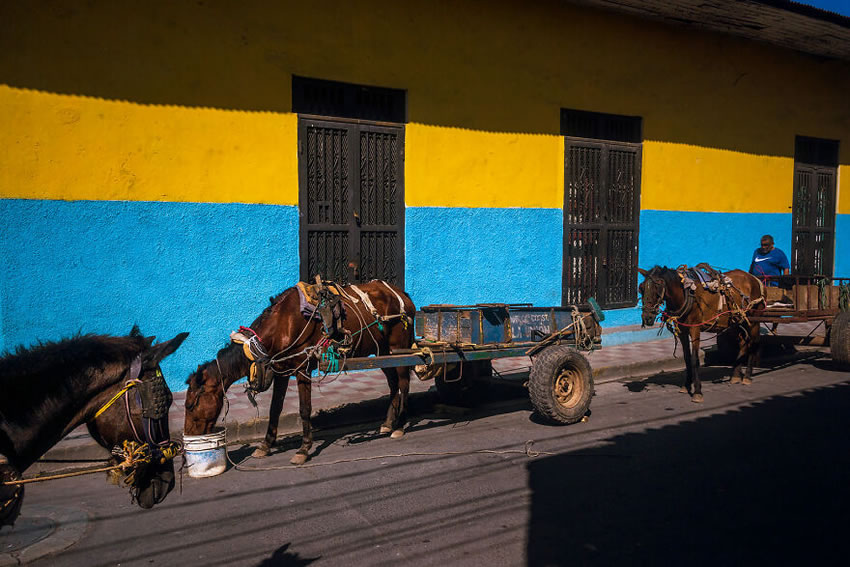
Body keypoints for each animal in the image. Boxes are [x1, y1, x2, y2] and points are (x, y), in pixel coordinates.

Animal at [184, 280, 416, 466]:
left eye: (191, 404)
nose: (189, 438)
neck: (282, 324)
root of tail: (403, 295)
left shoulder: (303, 369)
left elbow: (305, 409)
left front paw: (303, 449)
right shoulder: (281, 372)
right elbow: (274, 409)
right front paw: (265, 445)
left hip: (399, 348)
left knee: (404, 383)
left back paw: (400, 425)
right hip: (383, 351)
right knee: (393, 383)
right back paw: (387, 424)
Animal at [636, 268, 760, 404]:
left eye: (658, 287)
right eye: (641, 288)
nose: (647, 317)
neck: (685, 294)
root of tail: (752, 277)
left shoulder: (695, 329)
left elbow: (694, 359)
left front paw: (697, 392)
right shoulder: (682, 331)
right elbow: (686, 358)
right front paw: (686, 386)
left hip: (753, 319)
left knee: (753, 343)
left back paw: (747, 376)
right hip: (735, 322)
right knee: (743, 342)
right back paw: (736, 376)